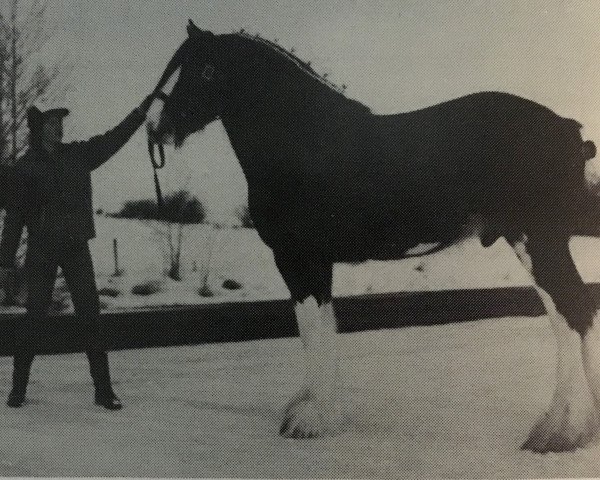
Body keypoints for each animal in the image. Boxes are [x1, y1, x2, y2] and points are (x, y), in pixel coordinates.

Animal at [145, 19, 600, 454]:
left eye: (205, 69)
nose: (157, 129)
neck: (303, 142)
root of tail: (567, 129)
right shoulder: (315, 262)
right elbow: (321, 328)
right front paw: (318, 411)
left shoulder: (297, 257)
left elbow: (312, 328)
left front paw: (309, 420)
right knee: (572, 310)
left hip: (537, 239)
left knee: (570, 311)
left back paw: (558, 434)